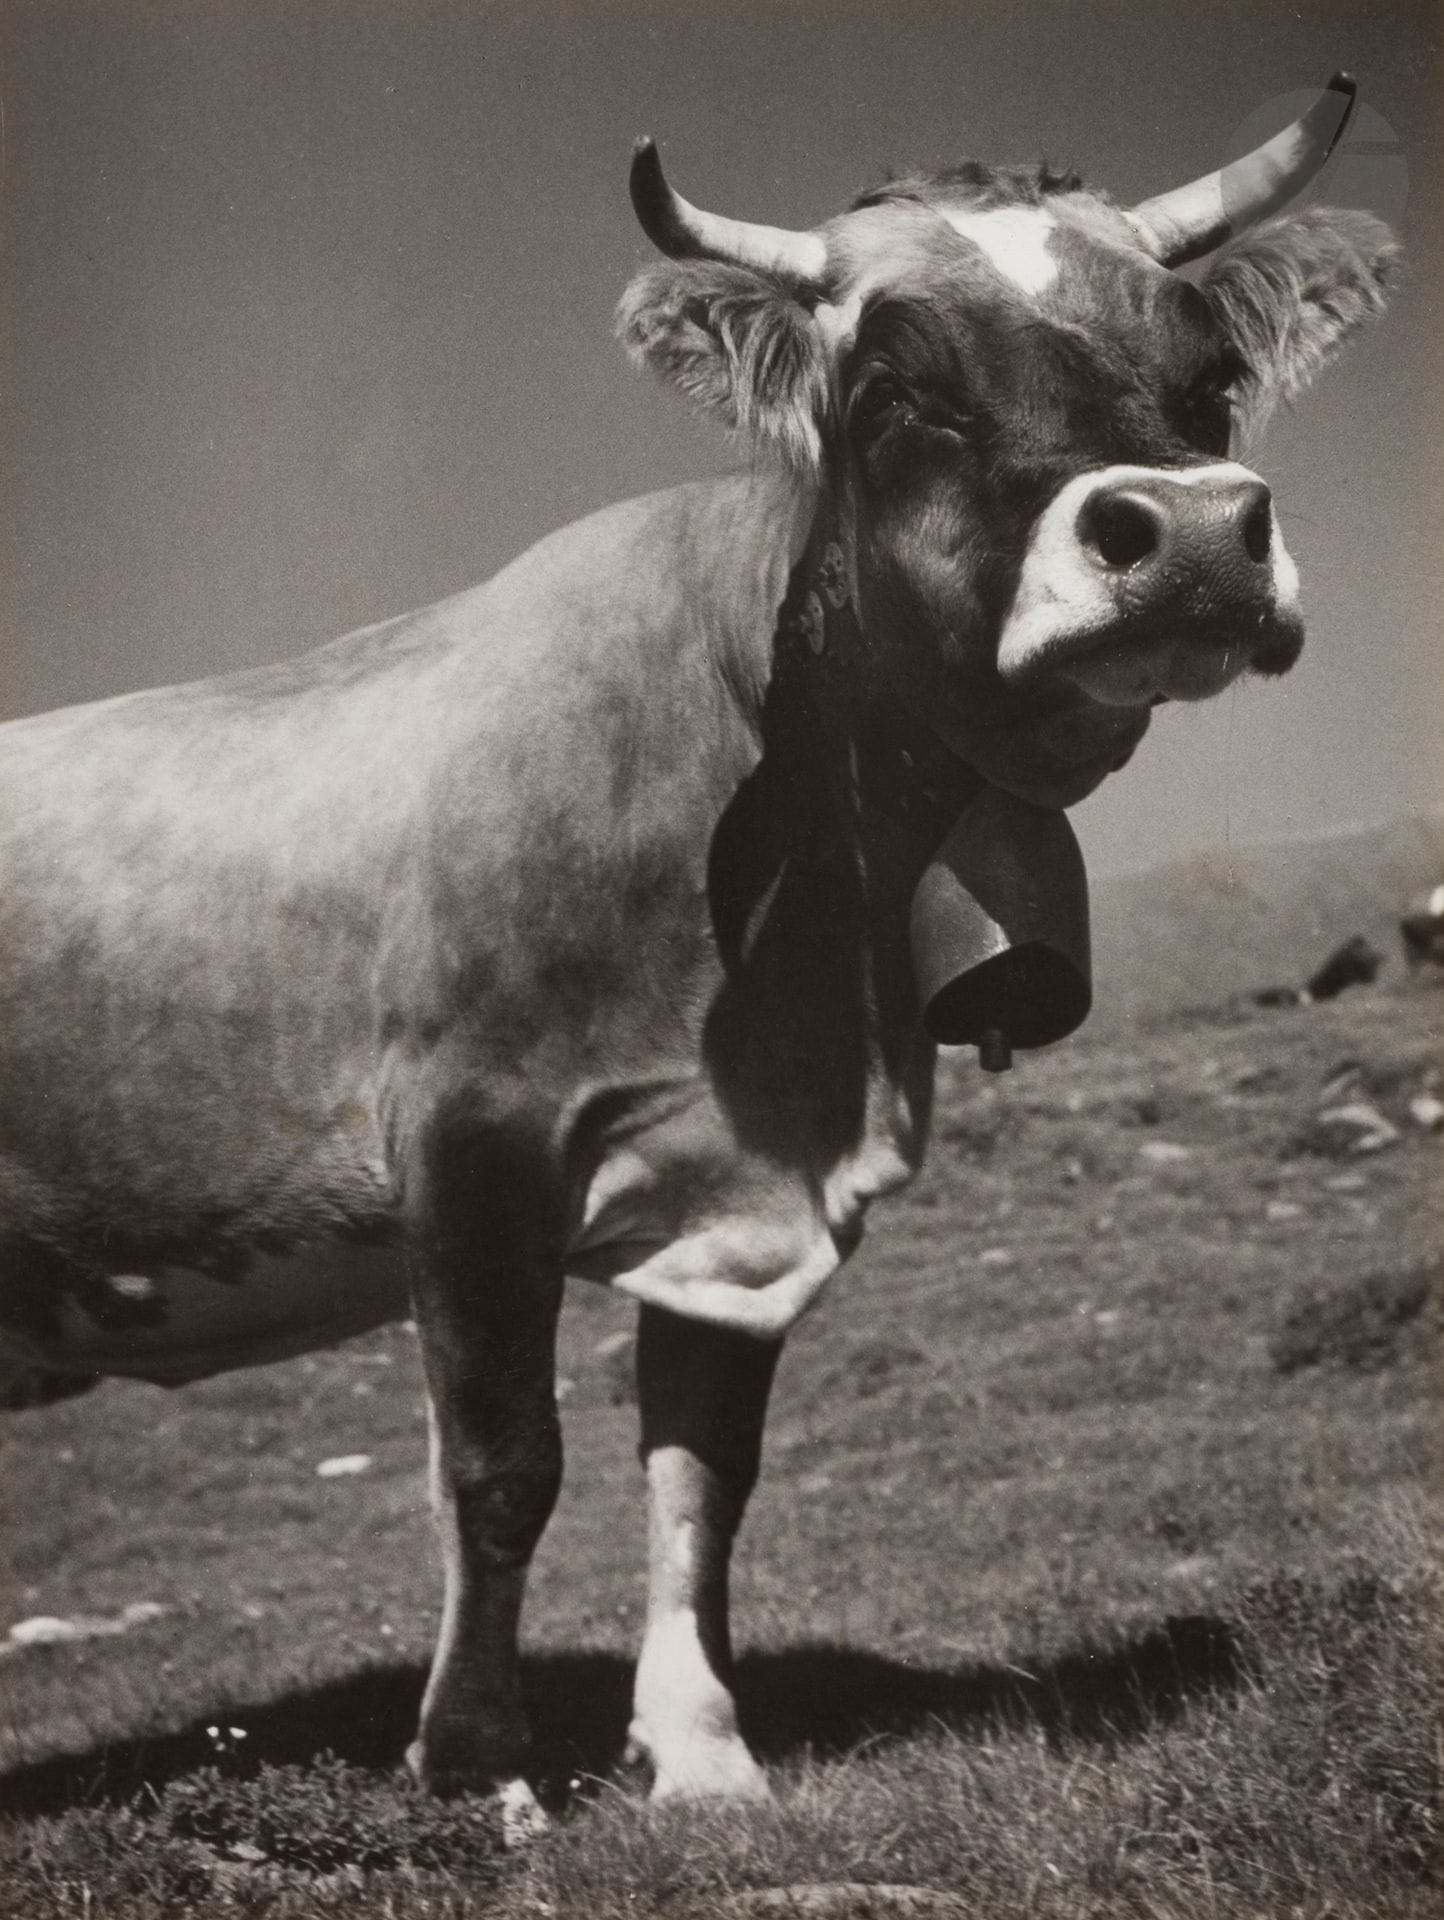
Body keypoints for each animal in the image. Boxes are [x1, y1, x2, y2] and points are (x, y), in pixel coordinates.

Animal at [0, 77, 1395, 1830]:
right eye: (897, 395)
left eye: (1209, 378)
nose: (1195, 535)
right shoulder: (470, 1140)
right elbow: (503, 1467)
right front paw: (477, 1769)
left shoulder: (745, 1193)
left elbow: (701, 1481)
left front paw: (703, 1753)